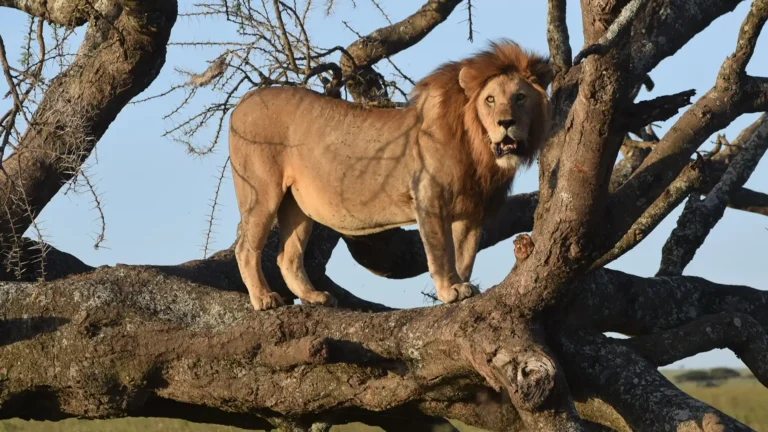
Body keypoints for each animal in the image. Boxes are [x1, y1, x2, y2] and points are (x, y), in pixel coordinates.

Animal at [228, 40, 552, 310]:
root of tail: (242, 103)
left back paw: (314, 296)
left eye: (520, 97)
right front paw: (449, 289)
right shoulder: (429, 198)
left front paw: (461, 285)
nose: (506, 123)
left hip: (297, 205)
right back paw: (264, 299)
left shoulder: (473, 211)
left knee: (287, 256)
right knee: (246, 248)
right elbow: (441, 251)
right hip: (262, 193)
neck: (478, 148)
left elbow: (464, 254)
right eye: (490, 99)